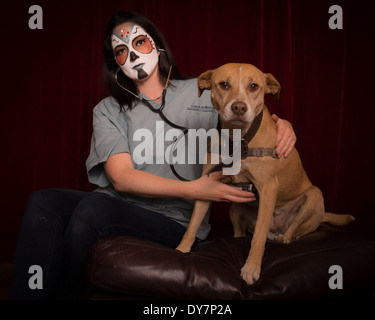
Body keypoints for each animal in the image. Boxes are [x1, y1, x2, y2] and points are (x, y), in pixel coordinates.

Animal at [176, 63, 356, 284]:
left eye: (254, 86)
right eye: (224, 84)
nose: (239, 108)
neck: (238, 139)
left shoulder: (268, 188)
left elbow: (258, 238)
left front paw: (251, 268)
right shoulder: (206, 185)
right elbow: (192, 226)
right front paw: (181, 250)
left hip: (314, 196)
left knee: (295, 229)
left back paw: (285, 237)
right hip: (235, 208)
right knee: (240, 232)